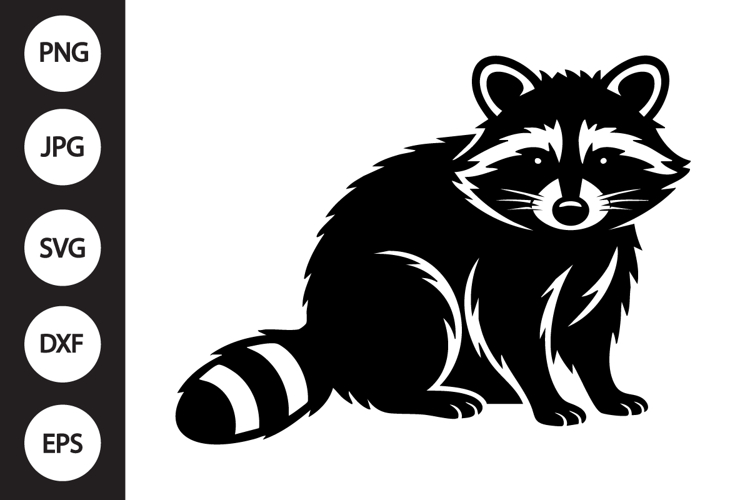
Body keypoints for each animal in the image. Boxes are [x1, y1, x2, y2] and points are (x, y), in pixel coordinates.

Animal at [176, 56, 689, 444]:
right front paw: (546, 397)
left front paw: (605, 390)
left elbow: (591, 333)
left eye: (602, 159)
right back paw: (423, 395)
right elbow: (514, 329)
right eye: (536, 160)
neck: (567, 237)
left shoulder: (602, 261)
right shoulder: (503, 261)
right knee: (424, 306)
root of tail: (327, 332)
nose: (570, 209)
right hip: (386, 295)